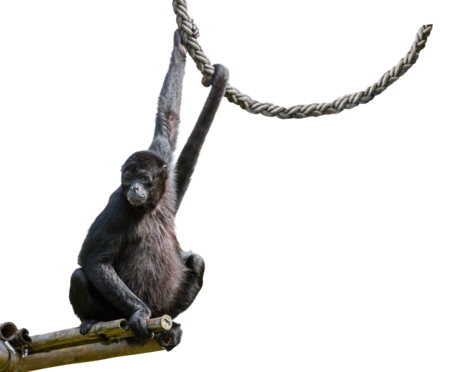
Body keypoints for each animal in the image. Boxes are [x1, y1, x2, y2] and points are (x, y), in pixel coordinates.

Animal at [68, 26, 230, 352]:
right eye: (128, 179)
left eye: (143, 178)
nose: (134, 189)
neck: (151, 207)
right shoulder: (118, 206)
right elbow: (93, 260)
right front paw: (140, 313)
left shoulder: (164, 180)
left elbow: (168, 120)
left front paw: (179, 44)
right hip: (112, 310)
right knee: (79, 275)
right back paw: (96, 320)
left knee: (196, 261)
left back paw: (171, 324)